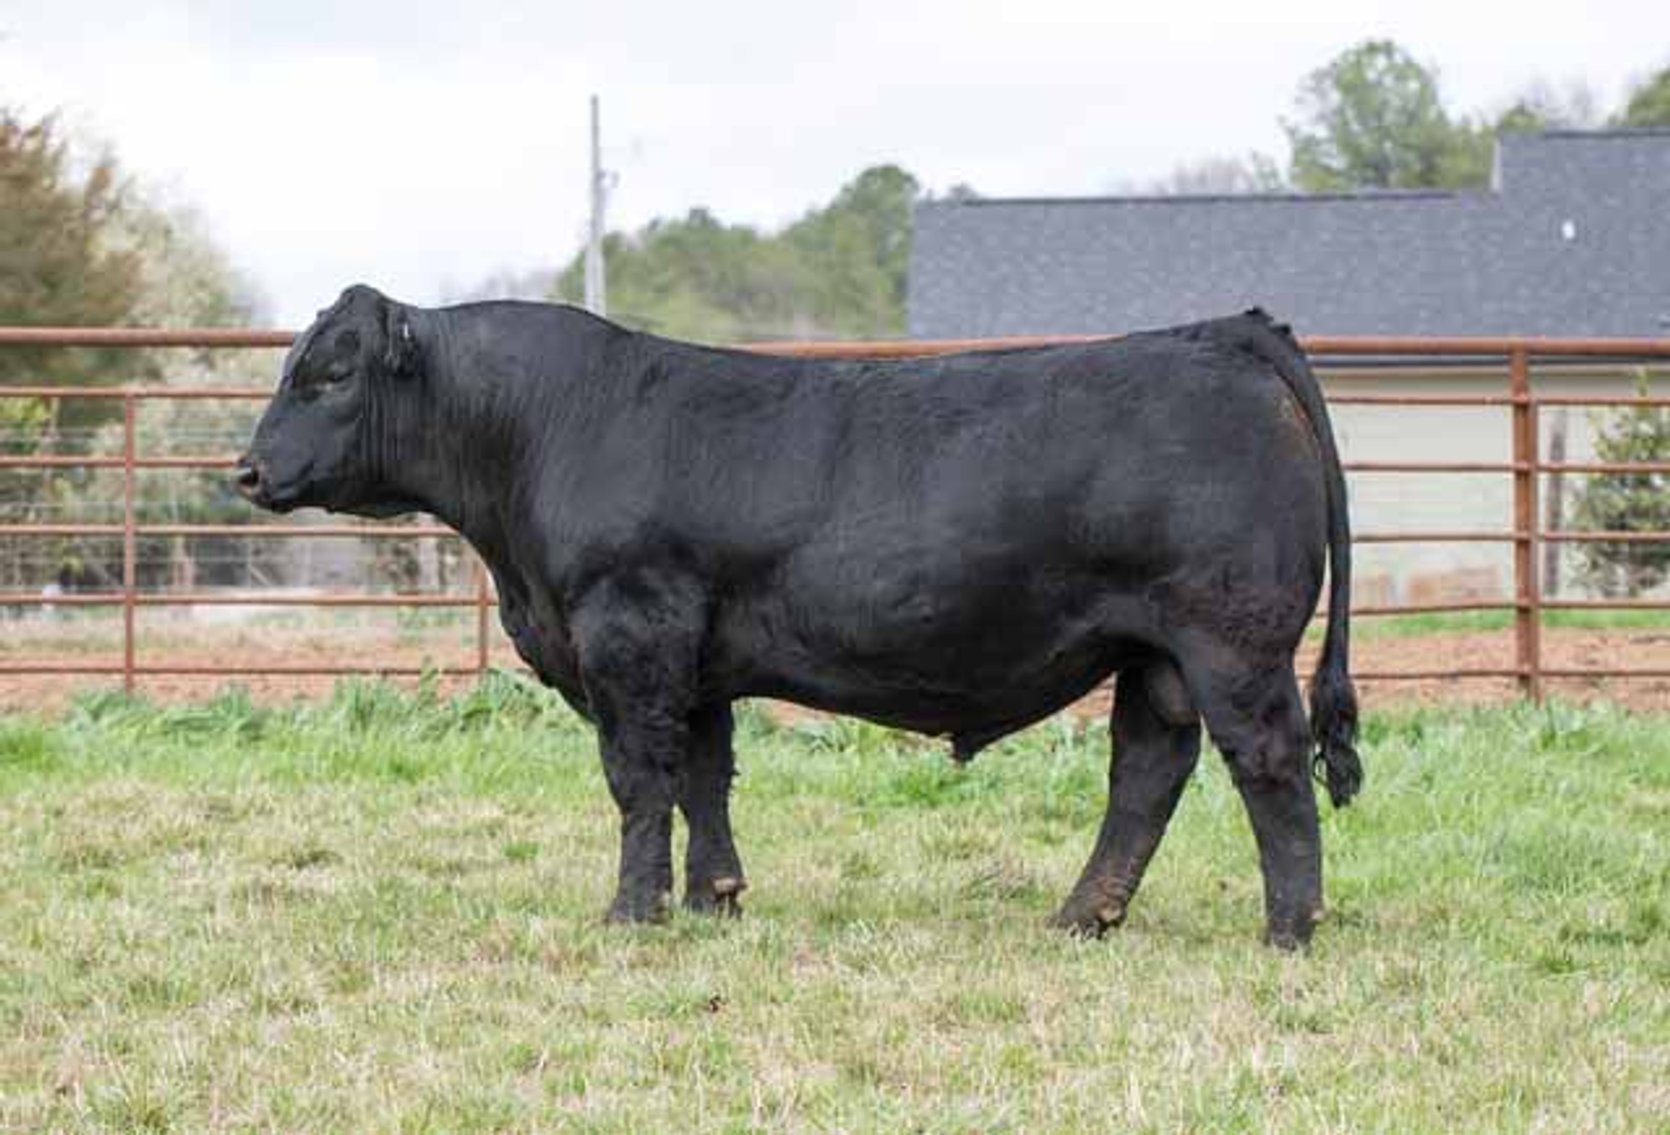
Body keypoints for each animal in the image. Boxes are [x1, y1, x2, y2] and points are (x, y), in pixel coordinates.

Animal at [236, 285, 1362, 948]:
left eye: (328, 374)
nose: (244, 468)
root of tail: (1222, 332)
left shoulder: (627, 633)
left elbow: (638, 780)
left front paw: (630, 914)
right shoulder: (692, 657)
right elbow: (701, 775)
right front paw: (713, 899)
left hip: (1231, 640)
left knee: (1265, 763)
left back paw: (1288, 927)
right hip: (1152, 651)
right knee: (1146, 771)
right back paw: (1082, 915)